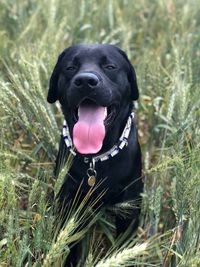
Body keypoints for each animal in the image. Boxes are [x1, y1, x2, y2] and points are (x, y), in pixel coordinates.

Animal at [47, 44, 143, 266]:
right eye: (70, 67)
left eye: (110, 66)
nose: (85, 81)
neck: (96, 157)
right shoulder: (68, 203)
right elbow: (69, 244)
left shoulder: (130, 208)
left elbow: (124, 245)